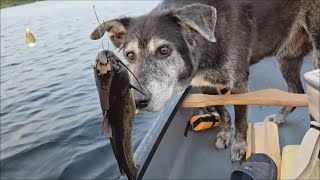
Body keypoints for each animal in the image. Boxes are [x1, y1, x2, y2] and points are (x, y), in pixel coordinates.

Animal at [90, 0, 320, 162]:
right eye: (130, 56)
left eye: (164, 50)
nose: (138, 102)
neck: (207, 41)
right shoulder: (206, 85)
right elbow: (223, 112)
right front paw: (225, 134)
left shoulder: (239, 85)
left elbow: (241, 119)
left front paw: (239, 146)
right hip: (287, 57)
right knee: (296, 91)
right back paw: (279, 118)